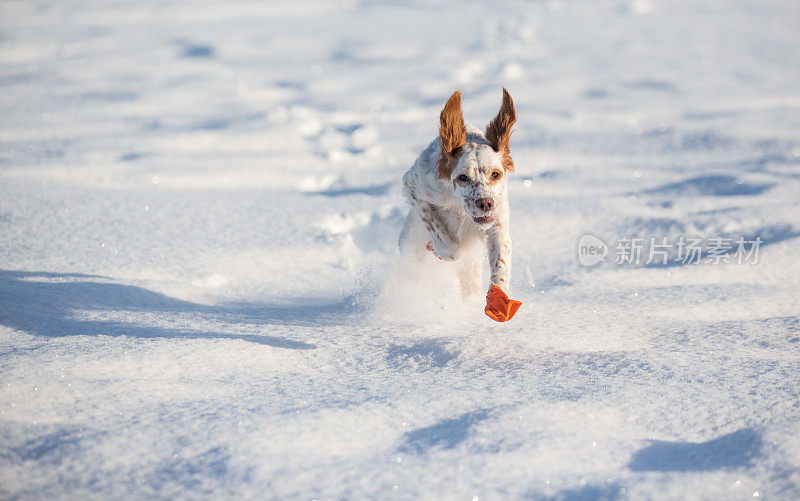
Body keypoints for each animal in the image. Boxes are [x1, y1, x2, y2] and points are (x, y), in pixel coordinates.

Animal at [404, 87, 520, 320]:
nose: (485, 203)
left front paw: (498, 298)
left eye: (496, 174)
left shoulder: (497, 222)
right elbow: (449, 247)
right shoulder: (414, 187)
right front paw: (438, 248)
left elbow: (500, 261)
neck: (459, 207)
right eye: (463, 177)